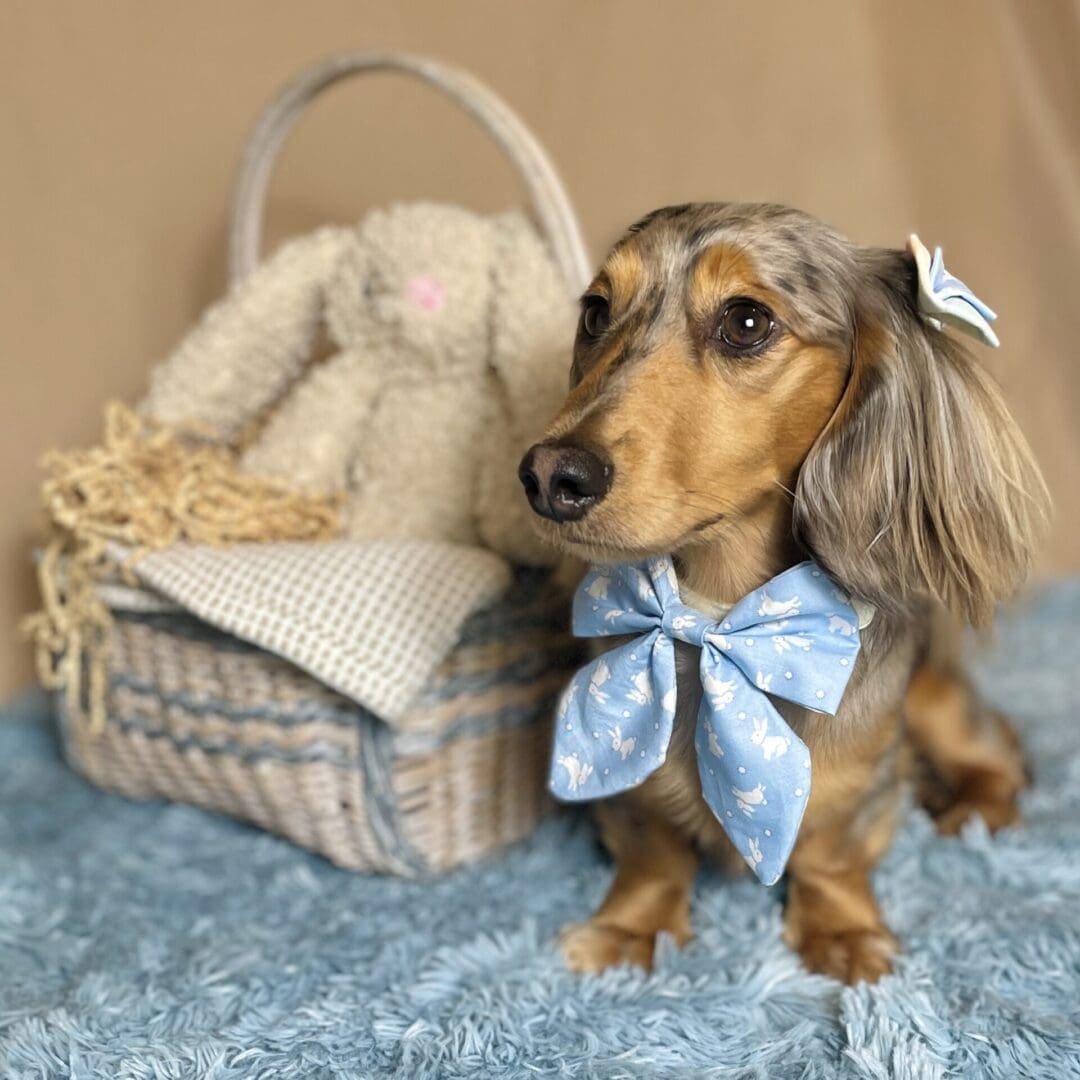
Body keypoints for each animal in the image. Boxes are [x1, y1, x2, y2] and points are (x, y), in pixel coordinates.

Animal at [518, 203, 1049, 984]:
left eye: (746, 321)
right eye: (594, 312)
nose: (550, 476)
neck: (713, 617)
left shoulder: (858, 777)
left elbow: (831, 851)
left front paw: (843, 932)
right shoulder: (629, 785)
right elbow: (653, 849)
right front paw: (628, 928)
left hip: (933, 697)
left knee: (1000, 755)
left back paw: (975, 810)